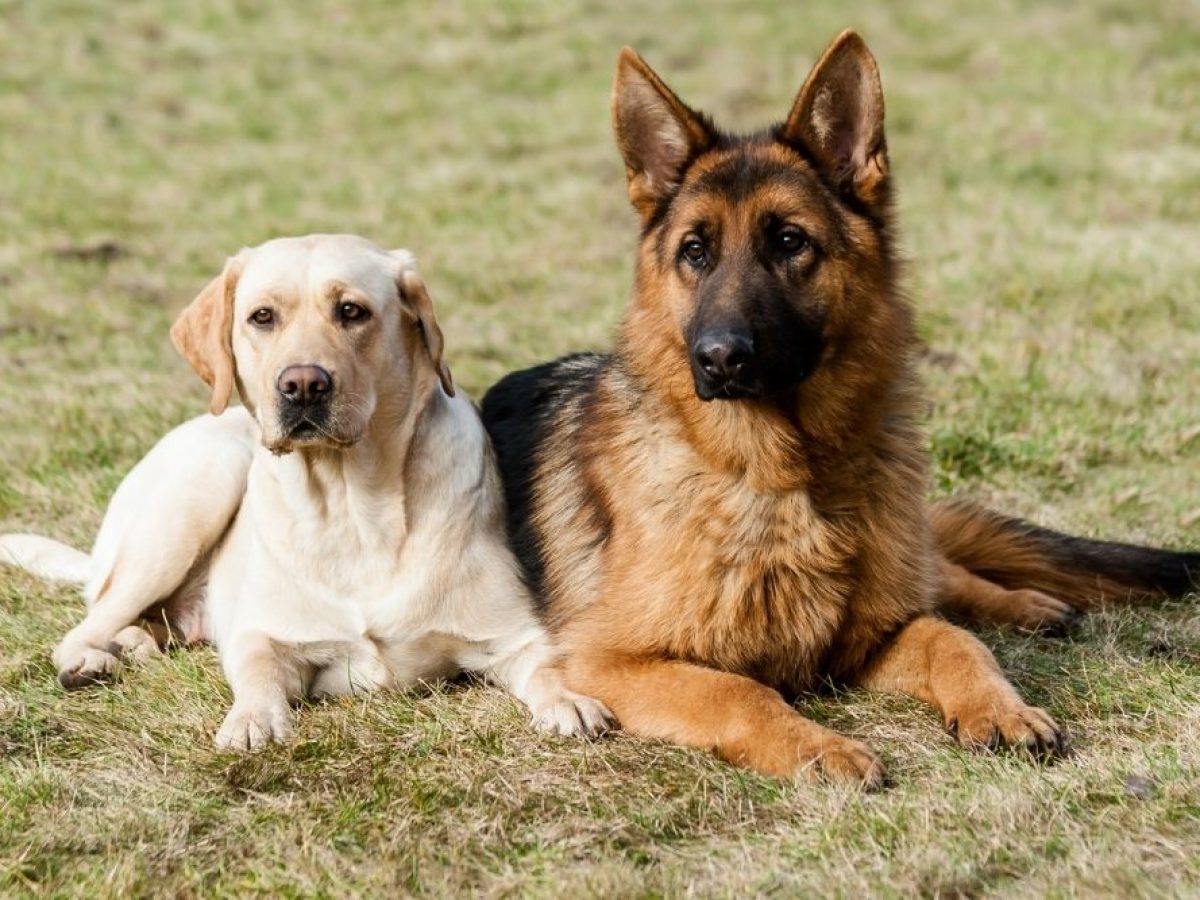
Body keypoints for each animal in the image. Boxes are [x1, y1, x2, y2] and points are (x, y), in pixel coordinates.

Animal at [480, 31, 1200, 787]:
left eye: (789, 241)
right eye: (695, 251)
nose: (720, 358)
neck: (782, 479)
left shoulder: (877, 633)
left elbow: (953, 641)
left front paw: (1002, 708)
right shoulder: (613, 662)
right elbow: (740, 690)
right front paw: (819, 748)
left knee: (943, 579)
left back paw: (1027, 604)